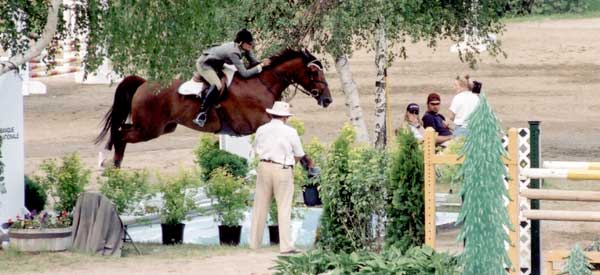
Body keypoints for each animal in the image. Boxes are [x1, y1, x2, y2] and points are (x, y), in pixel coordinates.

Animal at [96, 48, 336, 167]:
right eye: (313, 72)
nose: (327, 100)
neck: (262, 83)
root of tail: (144, 83)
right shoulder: (260, 121)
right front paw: (310, 166)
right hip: (149, 129)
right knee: (121, 134)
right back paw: (111, 164)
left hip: (163, 127)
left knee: (122, 131)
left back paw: (114, 164)